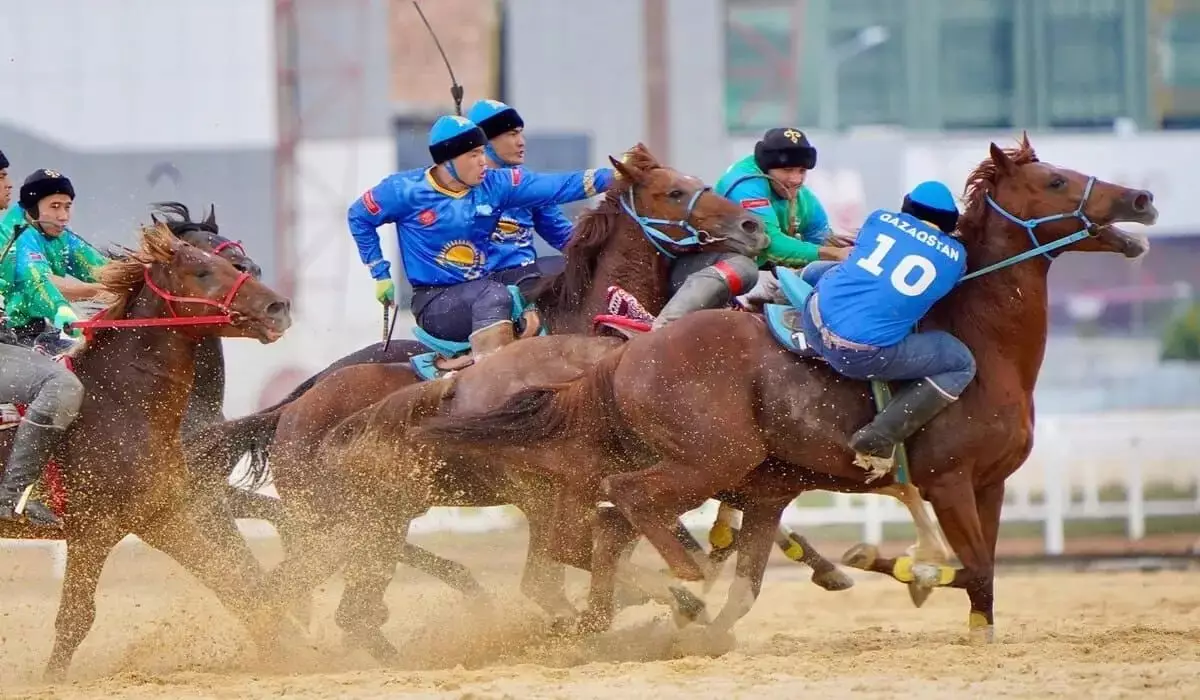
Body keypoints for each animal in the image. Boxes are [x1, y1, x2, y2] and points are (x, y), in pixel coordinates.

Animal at [1, 223, 296, 677]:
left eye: (237, 264)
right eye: (203, 271)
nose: (277, 307)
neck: (116, 402)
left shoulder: (163, 516)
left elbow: (236, 584)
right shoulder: (93, 528)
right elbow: (74, 618)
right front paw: (51, 680)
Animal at [410, 134, 1152, 643]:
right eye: (1055, 179)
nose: (1141, 198)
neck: (977, 336)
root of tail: (627, 355)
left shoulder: (987, 485)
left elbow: (985, 577)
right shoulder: (947, 481)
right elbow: (968, 568)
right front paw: (894, 566)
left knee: (606, 536)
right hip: (702, 459)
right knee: (622, 511)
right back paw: (680, 586)